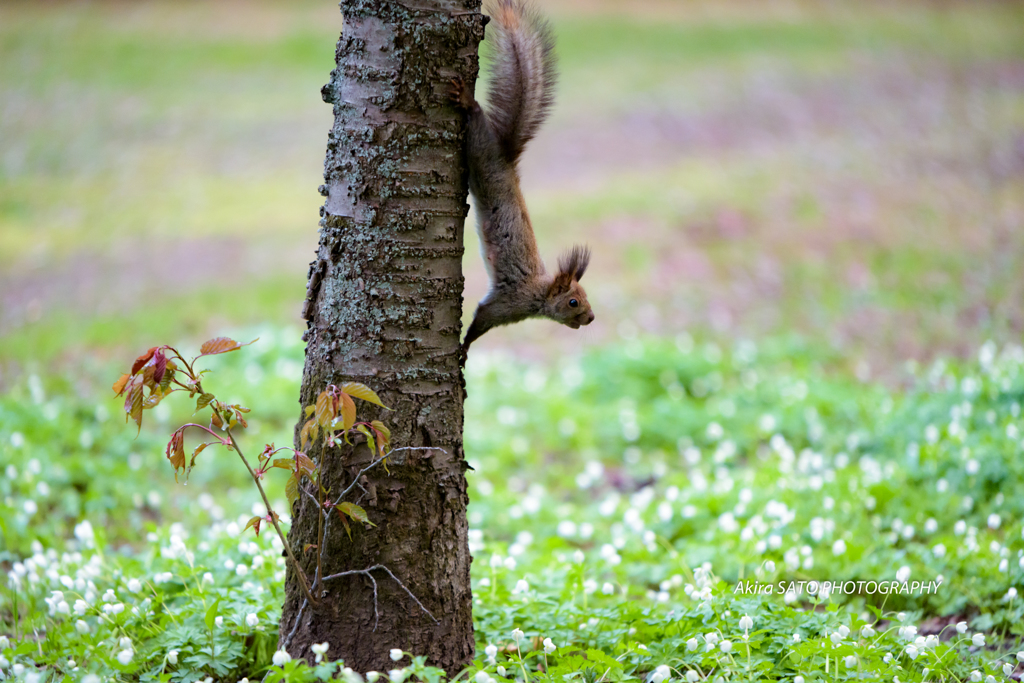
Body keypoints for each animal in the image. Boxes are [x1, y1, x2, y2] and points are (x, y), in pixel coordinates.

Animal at [452, 0, 598, 368]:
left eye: (586, 296)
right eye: (574, 302)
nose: (592, 318)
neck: (539, 293)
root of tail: (506, 157)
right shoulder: (508, 304)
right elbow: (481, 319)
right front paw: (463, 350)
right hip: (480, 151)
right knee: (476, 119)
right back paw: (467, 101)